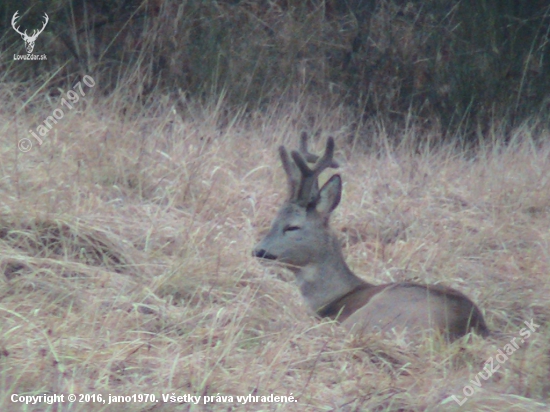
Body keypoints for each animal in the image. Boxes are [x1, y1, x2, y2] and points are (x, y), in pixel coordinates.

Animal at [254, 135, 492, 342]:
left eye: (292, 227)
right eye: (274, 220)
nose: (258, 250)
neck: (331, 298)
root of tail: (468, 326)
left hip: (372, 313)